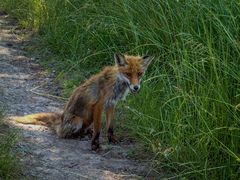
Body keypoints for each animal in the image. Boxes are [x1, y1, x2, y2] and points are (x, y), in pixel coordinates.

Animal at [14, 54, 154, 150]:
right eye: (128, 74)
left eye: (140, 74)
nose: (136, 87)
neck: (117, 84)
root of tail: (61, 120)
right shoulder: (99, 105)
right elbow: (98, 128)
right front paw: (95, 145)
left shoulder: (111, 104)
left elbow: (110, 127)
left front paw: (111, 140)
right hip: (78, 120)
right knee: (64, 134)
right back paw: (79, 136)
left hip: (88, 119)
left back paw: (86, 133)